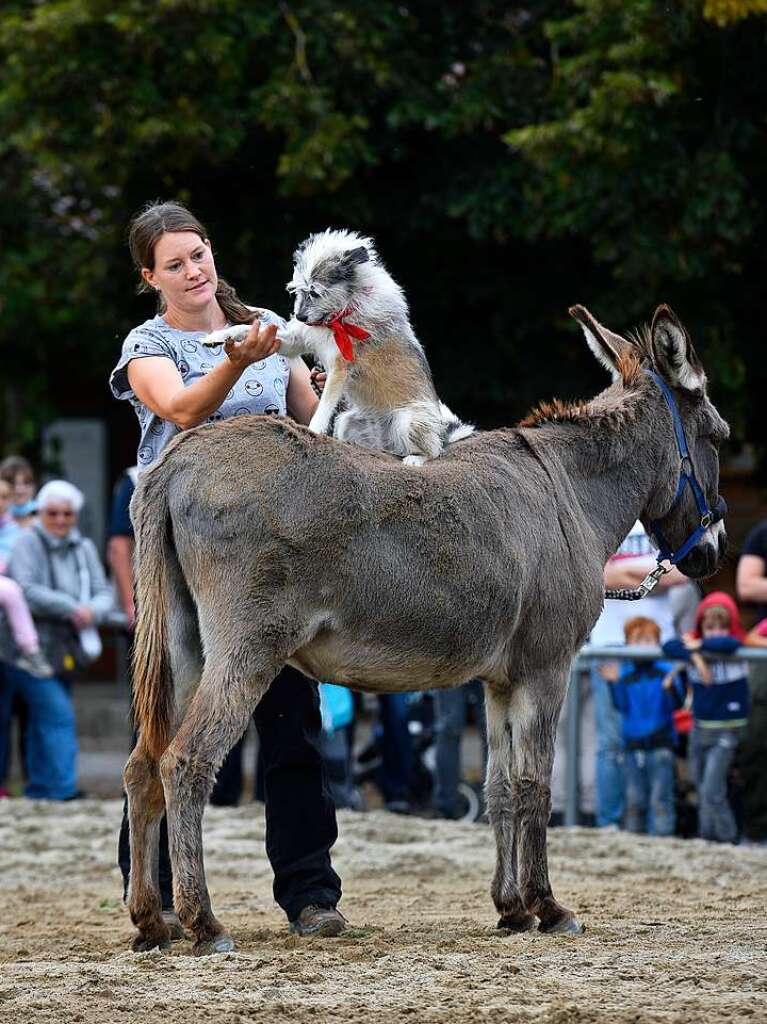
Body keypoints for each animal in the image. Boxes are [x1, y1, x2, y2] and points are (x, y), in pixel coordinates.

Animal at [203, 229, 469, 464]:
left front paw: (312, 432)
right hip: (347, 422)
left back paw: (416, 458)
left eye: (316, 293)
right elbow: (247, 328)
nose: (300, 317)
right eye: (297, 290)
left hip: (408, 421)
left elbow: (323, 407)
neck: (337, 317)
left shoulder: (340, 369)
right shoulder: (292, 343)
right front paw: (217, 336)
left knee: (435, 451)